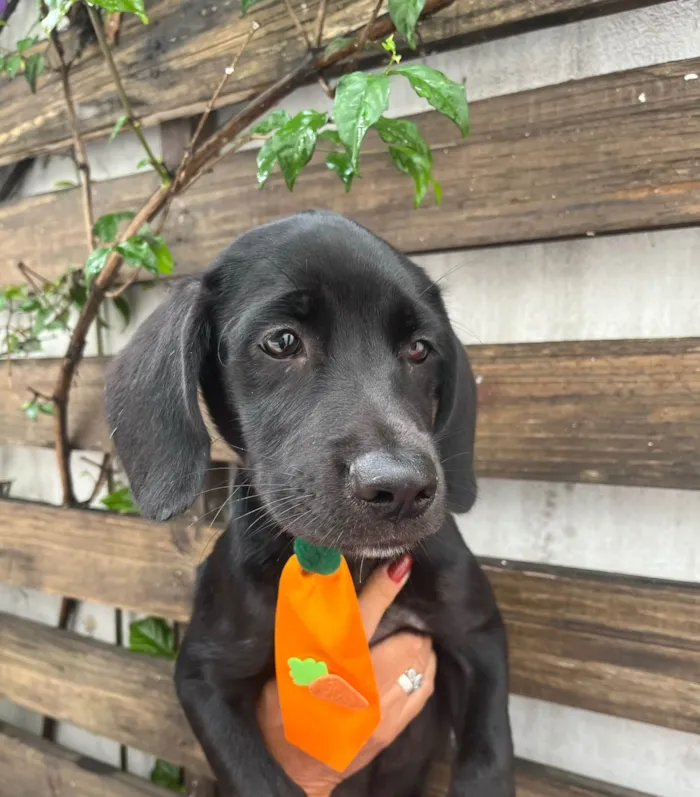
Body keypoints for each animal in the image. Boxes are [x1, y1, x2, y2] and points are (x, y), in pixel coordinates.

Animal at [105, 211, 516, 796]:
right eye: (281, 342)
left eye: (419, 349)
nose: (402, 489)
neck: (347, 567)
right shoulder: (203, 675)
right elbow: (258, 779)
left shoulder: (479, 639)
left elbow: (487, 760)